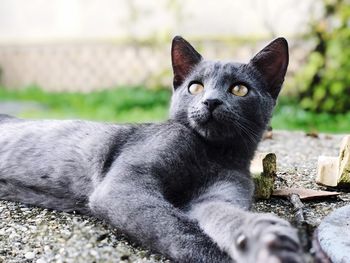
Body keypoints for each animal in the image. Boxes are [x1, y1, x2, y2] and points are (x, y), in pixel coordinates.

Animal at [0, 37, 304, 263]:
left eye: (240, 89)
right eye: (195, 87)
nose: (211, 101)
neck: (212, 155)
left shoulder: (218, 195)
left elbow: (225, 215)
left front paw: (267, 240)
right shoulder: (125, 185)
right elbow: (175, 226)